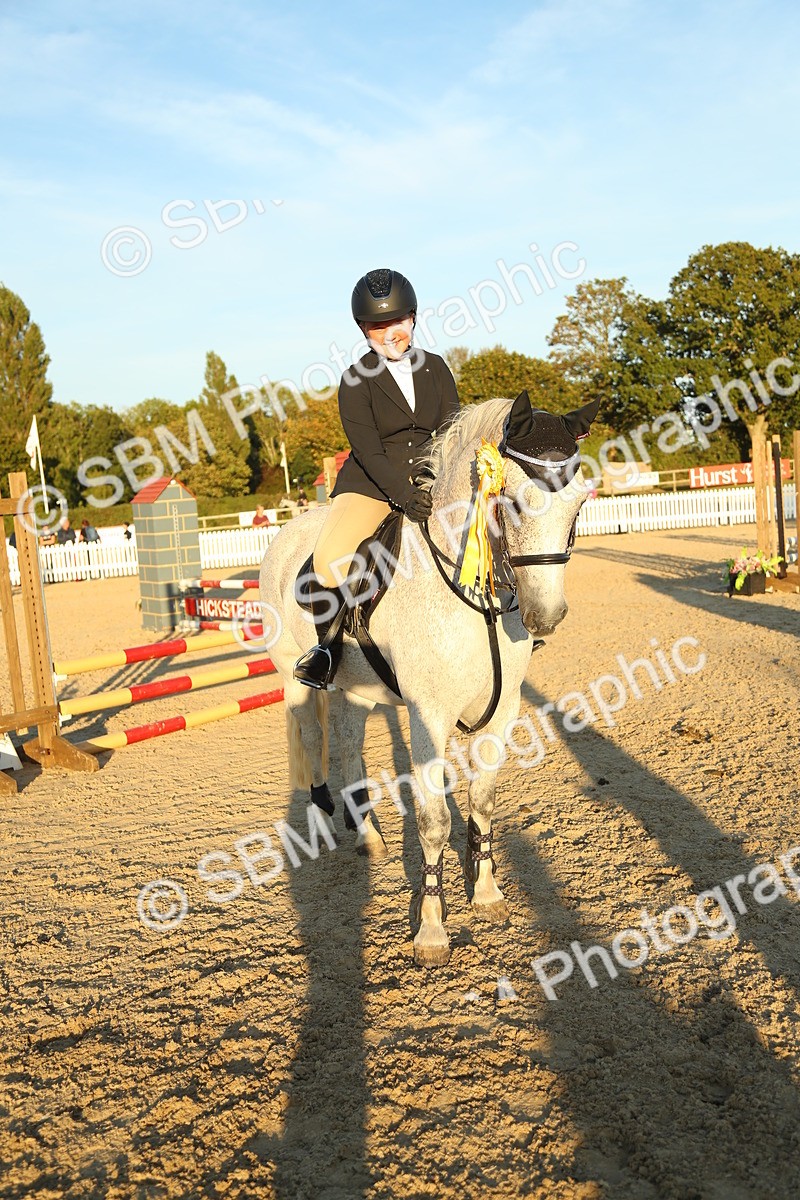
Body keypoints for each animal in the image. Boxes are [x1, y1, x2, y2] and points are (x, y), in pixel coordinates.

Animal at [259, 389, 600, 966]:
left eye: (577, 502)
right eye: (511, 501)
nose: (546, 616)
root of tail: (287, 531)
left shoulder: (502, 711)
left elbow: (482, 801)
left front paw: (486, 894)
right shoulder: (428, 717)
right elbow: (434, 820)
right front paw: (432, 931)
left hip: (357, 688)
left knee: (348, 745)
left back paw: (368, 837)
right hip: (293, 676)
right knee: (312, 736)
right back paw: (327, 816)